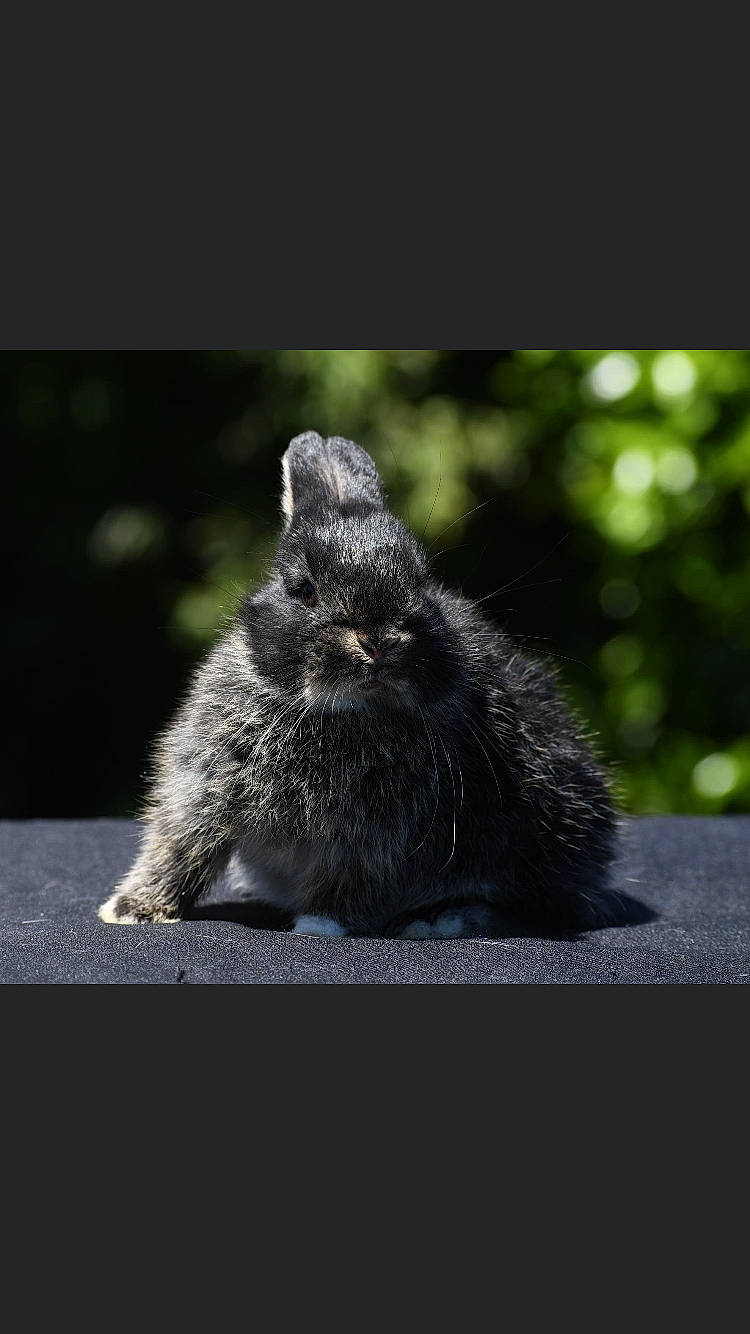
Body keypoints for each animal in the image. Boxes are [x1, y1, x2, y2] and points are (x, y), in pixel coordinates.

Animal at [98, 430, 618, 939]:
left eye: (420, 583)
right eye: (304, 590)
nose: (377, 641)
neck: (344, 710)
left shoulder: (376, 840)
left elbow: (349, 882)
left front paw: (318, 925)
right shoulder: (200, 792)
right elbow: (179, 850)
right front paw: (130, 912)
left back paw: (433, 920)